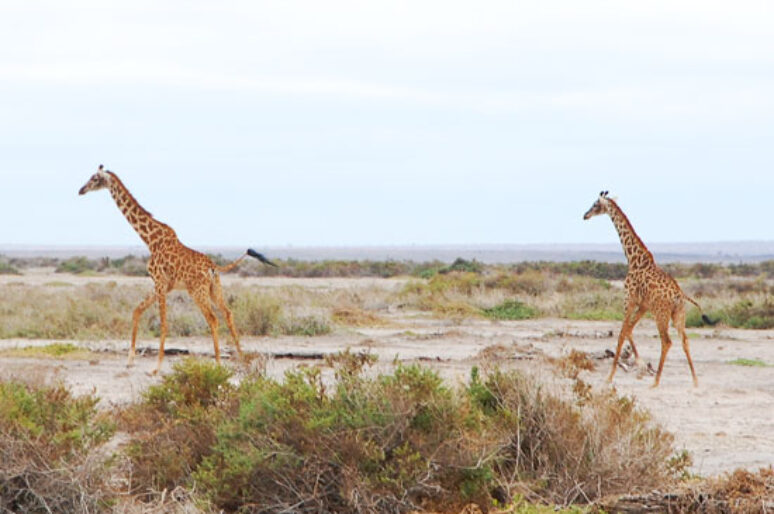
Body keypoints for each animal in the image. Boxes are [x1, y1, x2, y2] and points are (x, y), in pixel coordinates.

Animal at [79, 164, 278, 372]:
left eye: (94, 178)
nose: (81, 190)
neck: (150, 239)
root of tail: (213, 266)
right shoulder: (163, 285)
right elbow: (137, 311)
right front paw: (130, 360)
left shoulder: (160, 282)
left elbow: (163, 323)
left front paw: (156, 368)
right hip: (214, 289)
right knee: (228, 314)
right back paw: (243, 360)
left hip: (197, 291)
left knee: (213, 319)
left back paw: (218, 363)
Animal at [584, 190, 712, 386]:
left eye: (595, 204)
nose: (585, 215)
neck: (633, 259)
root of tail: (680, 296)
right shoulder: (643, 305)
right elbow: (629, 330)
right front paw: (640, 364)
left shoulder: (629, 300)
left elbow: (622, 333)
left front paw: (610, 376)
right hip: (678, 315)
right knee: (684, 340)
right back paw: (695, 381)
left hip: (661, 314)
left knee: (667, 341)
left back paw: (656, 382)